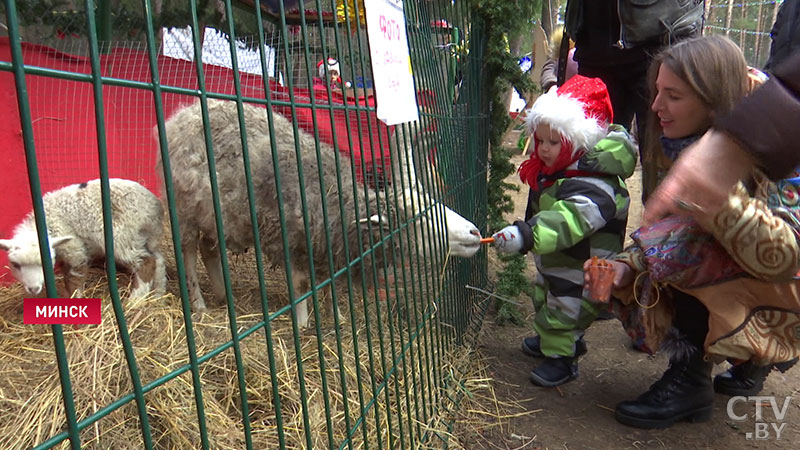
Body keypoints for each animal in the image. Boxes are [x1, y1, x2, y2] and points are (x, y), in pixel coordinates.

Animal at [1, 178, 167, 298]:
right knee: (158, 260)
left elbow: (74, 277)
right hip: (146, 237)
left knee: (146, 262)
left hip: (122, 236)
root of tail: (155, 206)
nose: (34, 288)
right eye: (15, 264)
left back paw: (135, 300)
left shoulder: (74, 248)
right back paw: (158, 296)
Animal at [159, 99, 478, 326]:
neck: (337, 202)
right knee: (188, 252)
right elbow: (301, 286)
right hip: (185, 209)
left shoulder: (326, 247)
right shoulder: (288, 241)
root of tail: (181, 116)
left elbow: (329, 286)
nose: (475, 232)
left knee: (208, 248)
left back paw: (224, 295)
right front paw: (302, 325)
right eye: (421, 220)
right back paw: (198, 303)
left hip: (215, 216)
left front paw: (336, 316)